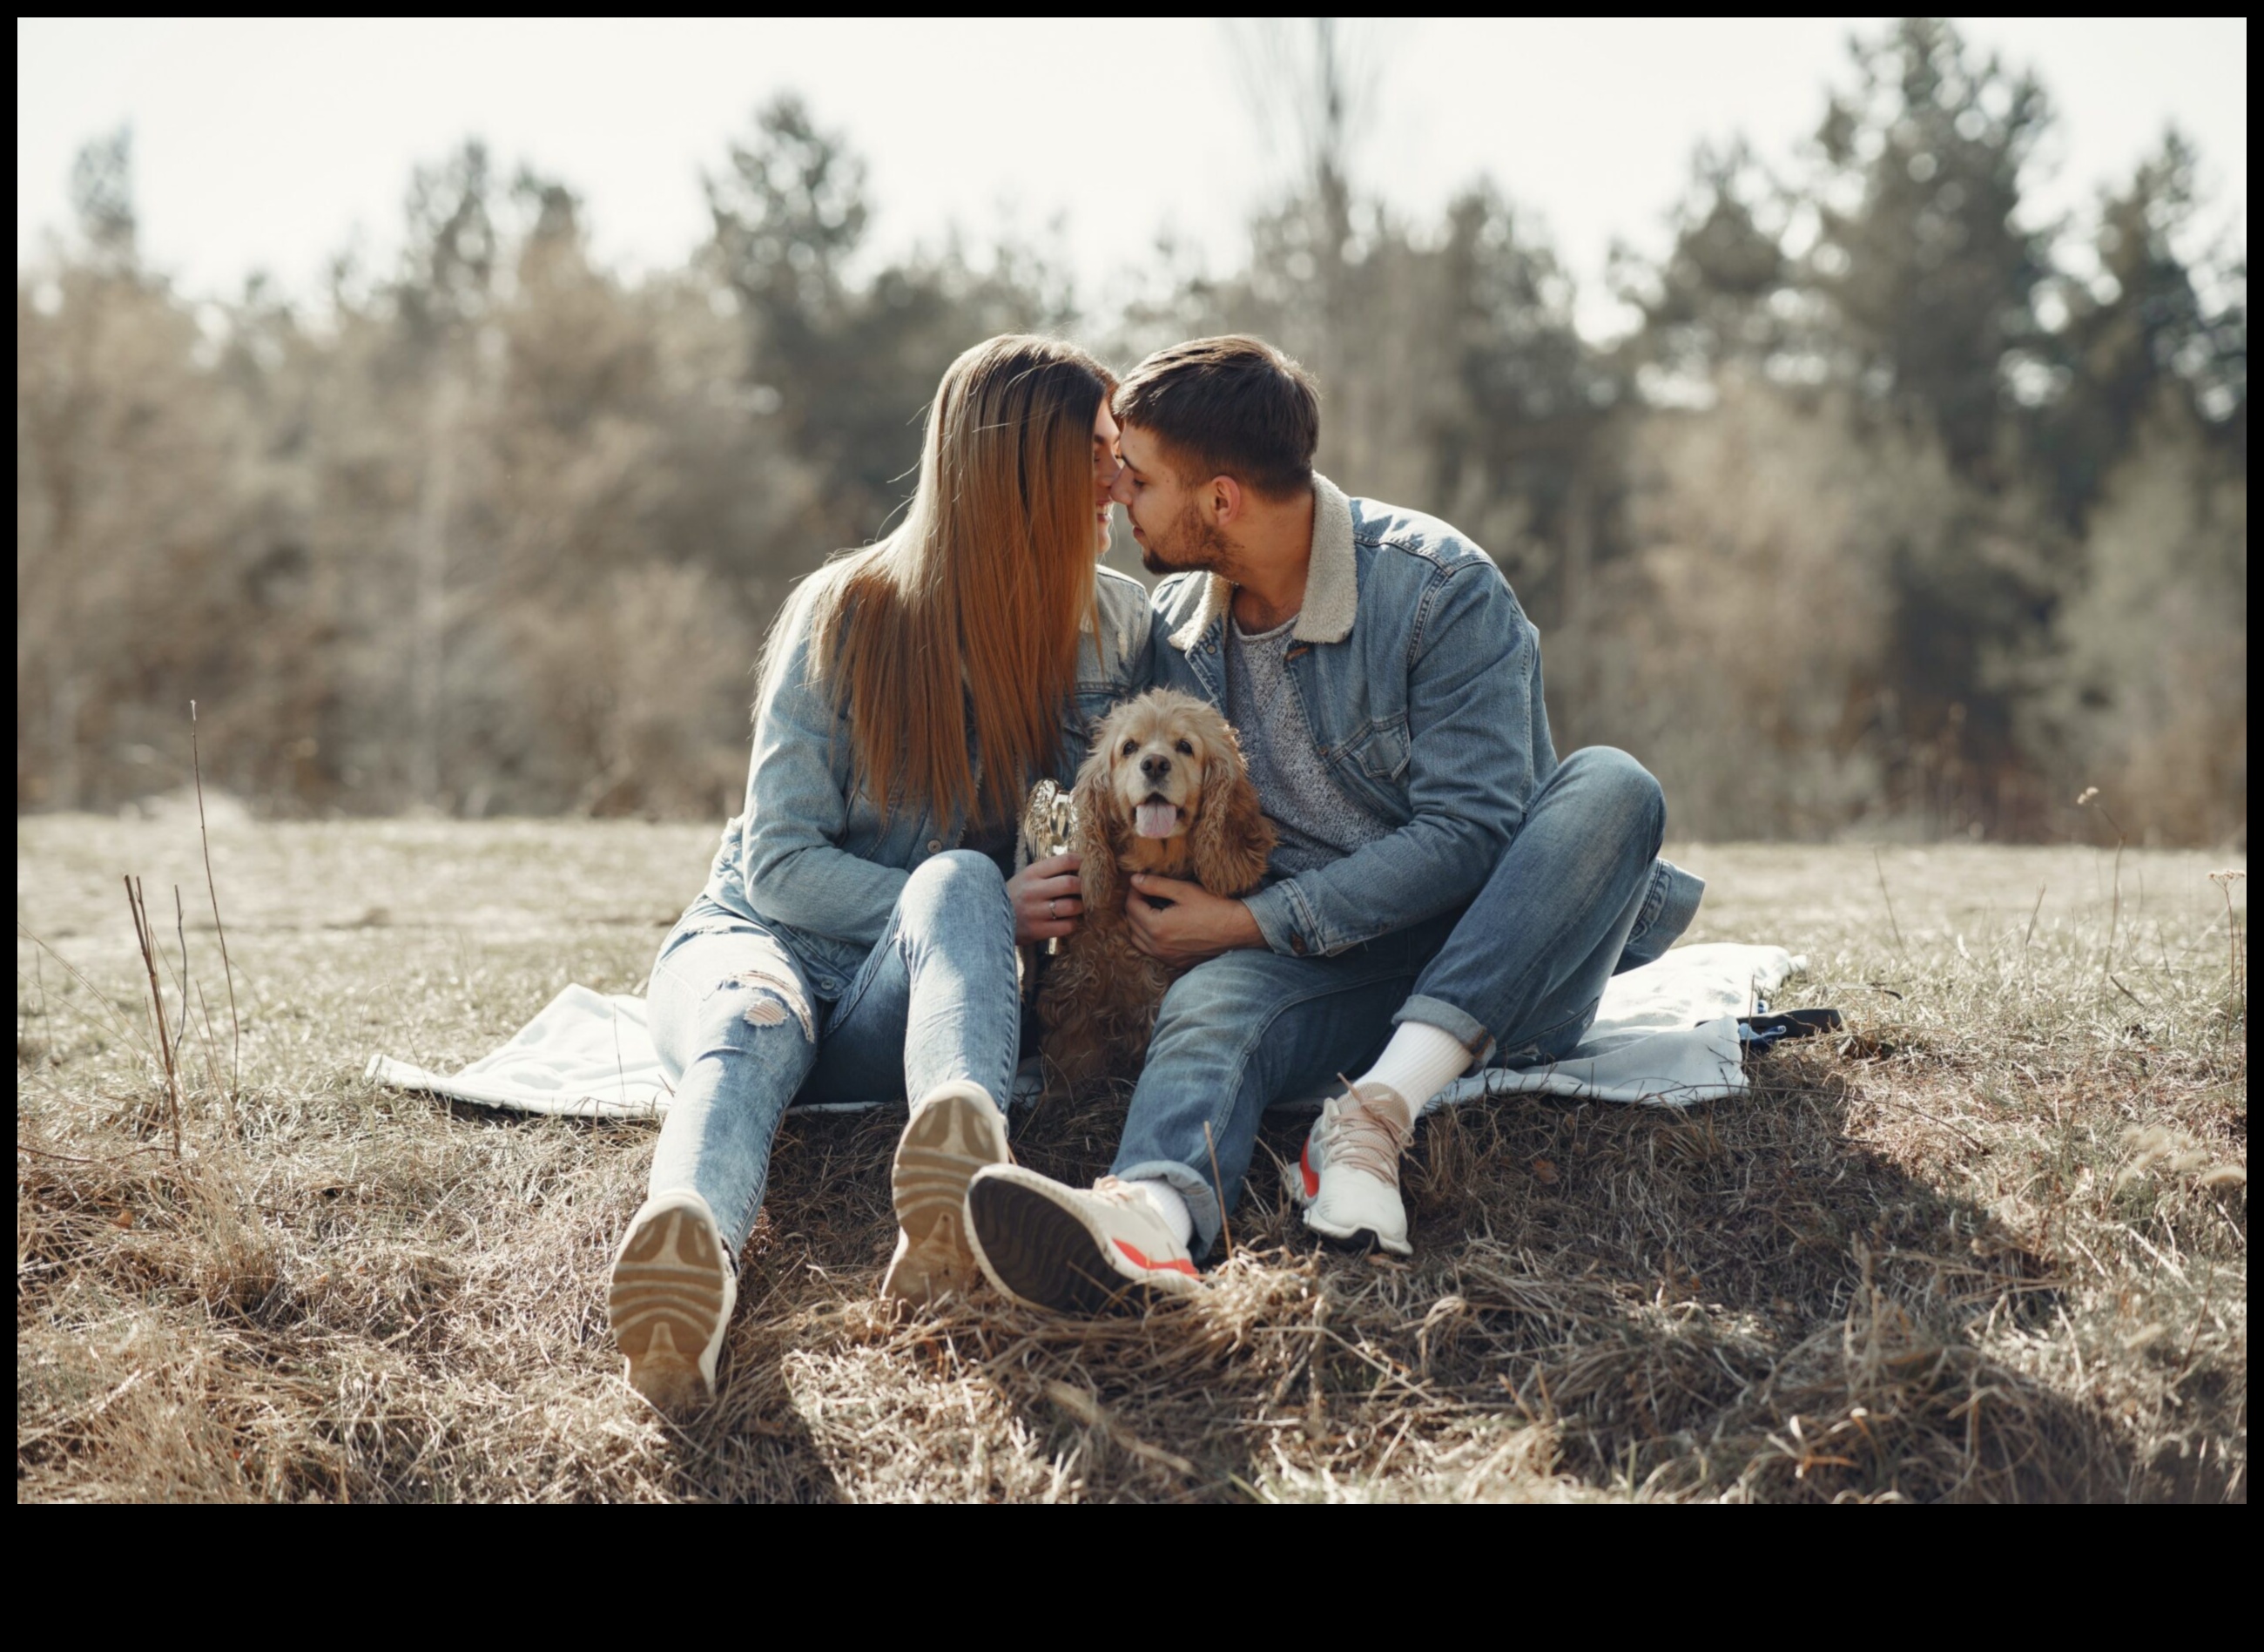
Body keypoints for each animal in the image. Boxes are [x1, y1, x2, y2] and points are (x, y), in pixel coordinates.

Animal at [1036, 683, 1277, 1086]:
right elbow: (1074, 1058)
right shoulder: (1083, 986)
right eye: (1129, 748)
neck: (1157, 865)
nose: (1154, 764)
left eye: (1185, 746)